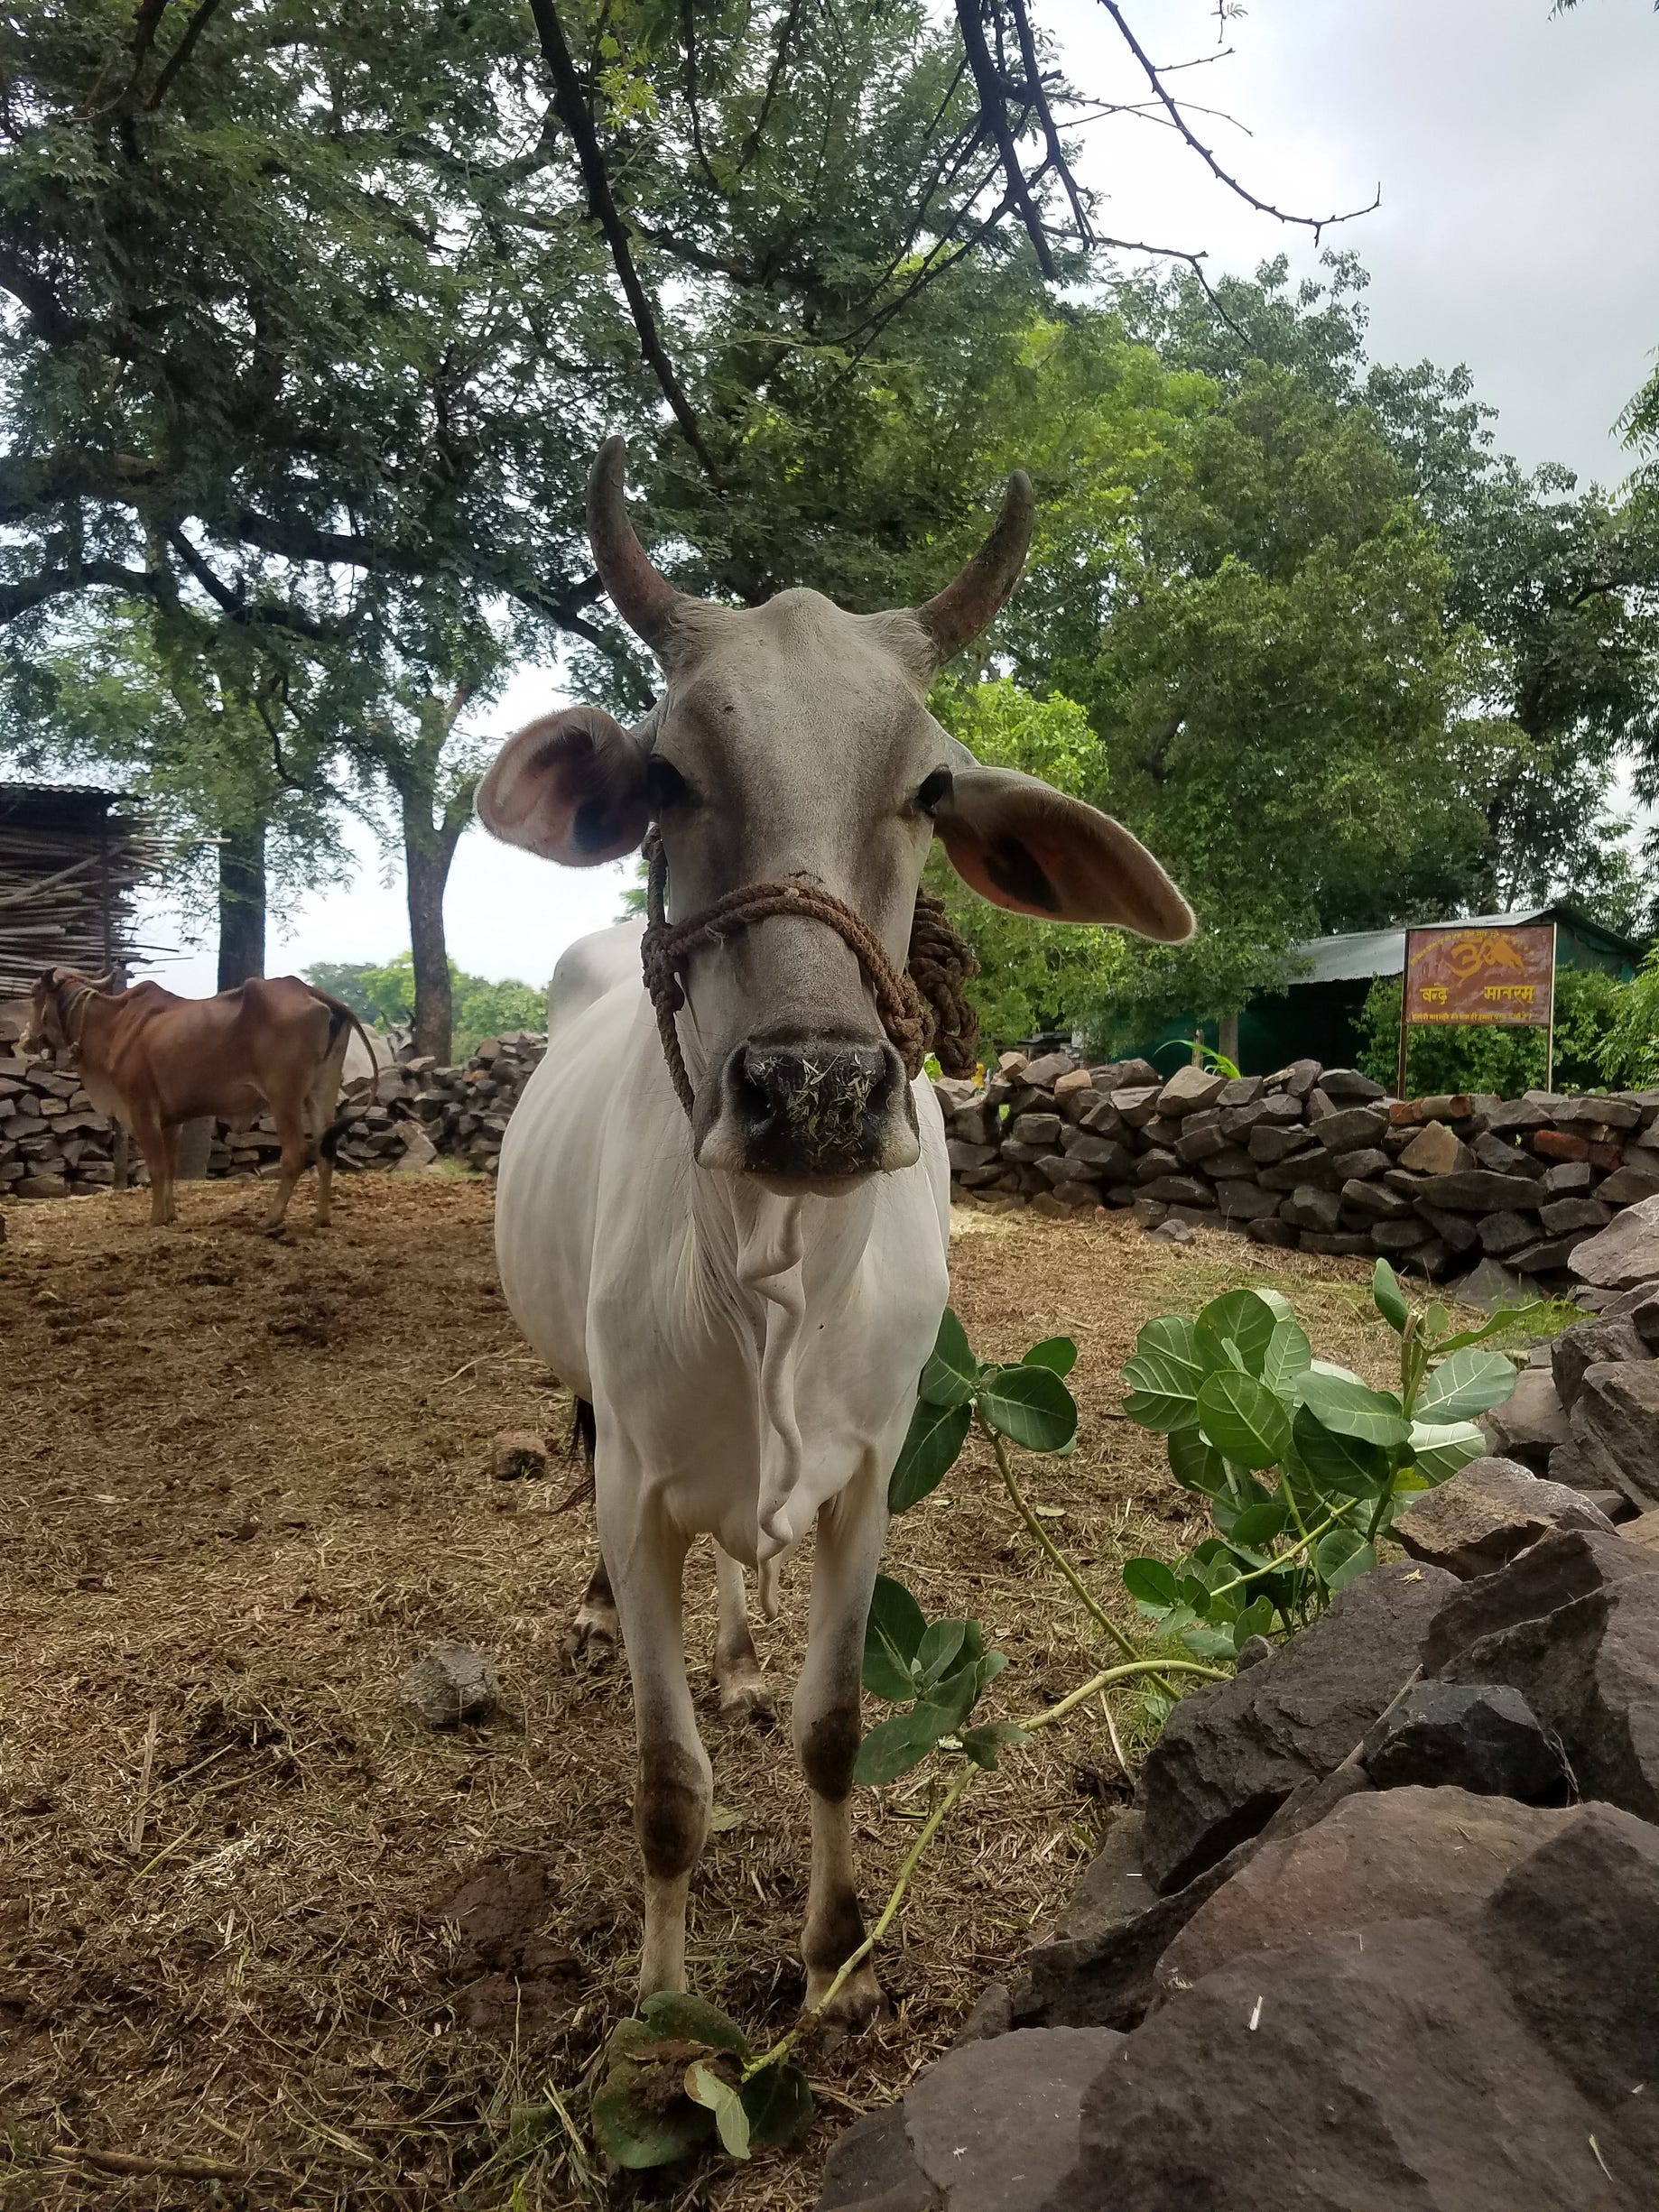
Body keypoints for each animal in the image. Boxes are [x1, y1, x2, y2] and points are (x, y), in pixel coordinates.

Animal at [26, 969, 374, 1232]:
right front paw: (170, 1214)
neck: (114, 1025)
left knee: (296, 1153)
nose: (26, 1039)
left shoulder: (141, 1108)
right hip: (321, 1091)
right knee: (326, 1150)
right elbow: (170, 1167)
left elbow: (157, 1167)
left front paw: (155, 1219)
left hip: (283, 1097)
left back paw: (271, 1219)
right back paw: (321, 1218)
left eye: (33, 993)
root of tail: (310, 991)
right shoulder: (171, 1120)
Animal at [479, 438, 1194, 2026]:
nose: (812, 1089)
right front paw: (661, 2003)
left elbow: (833, 1726)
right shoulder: (633, 1489)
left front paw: (828, 1959)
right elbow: (668, 1782)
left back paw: (744, 1644)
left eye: (927, 786)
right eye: (666, 773)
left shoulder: (866, 1479)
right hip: (581, 1397)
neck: (771, 1271)